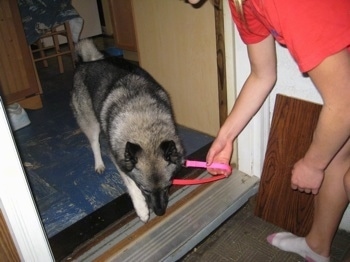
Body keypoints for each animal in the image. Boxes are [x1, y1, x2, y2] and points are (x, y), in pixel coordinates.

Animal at [72, 40, 186, 222]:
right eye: (144, 189)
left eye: (168, 185)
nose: (160, 212)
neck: (145, 128)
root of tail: (86, 63)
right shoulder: (121, 160)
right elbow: (130, 183)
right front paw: (142, 209)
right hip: (90, 123)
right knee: (94, 143)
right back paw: (99, 164)